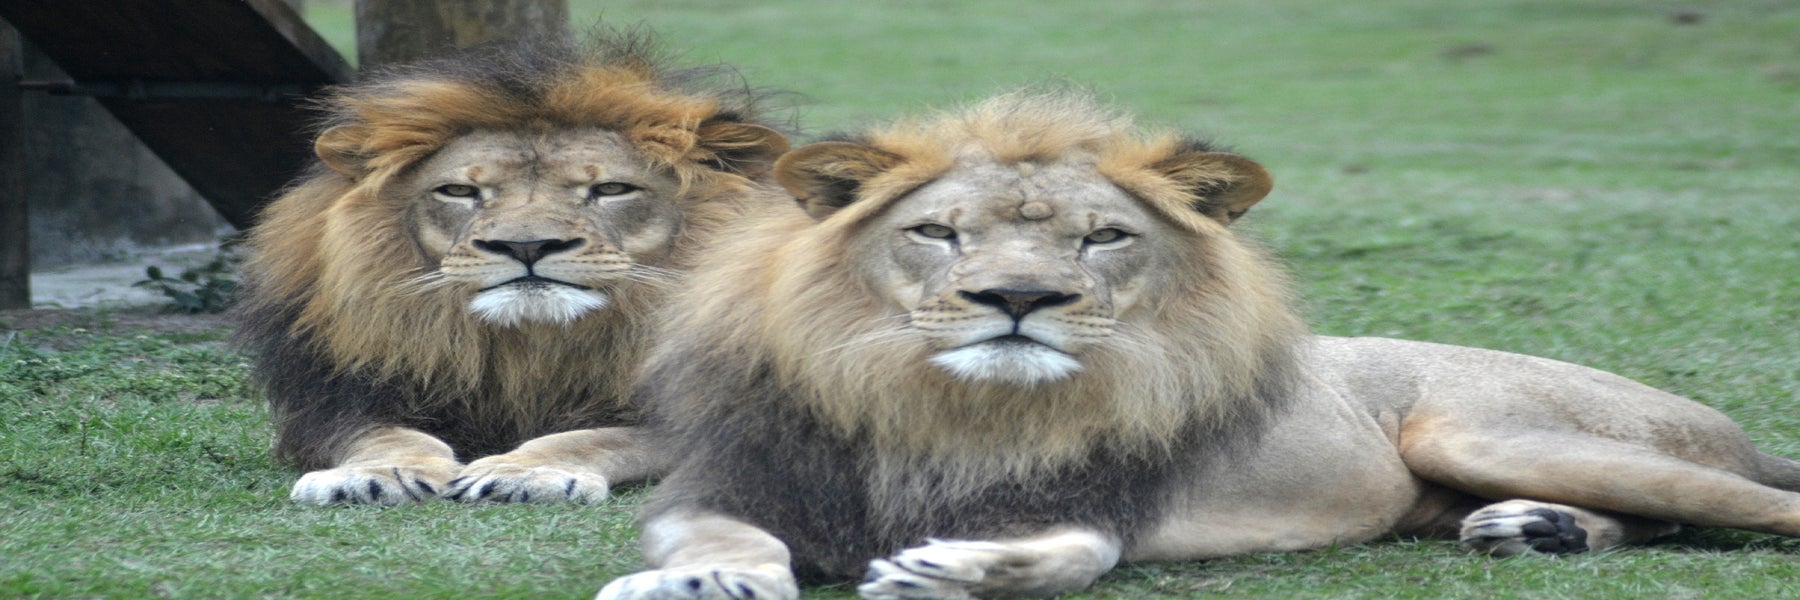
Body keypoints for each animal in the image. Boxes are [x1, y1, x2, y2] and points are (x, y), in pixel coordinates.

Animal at [232, 33, 788, 504]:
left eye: (610, 189)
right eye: (459, 191)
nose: (528, 245)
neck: (530, 347)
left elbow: (599, 437)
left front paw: (524, 471)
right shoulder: (336, 402)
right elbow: (384, 436)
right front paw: (378, 473)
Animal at [597, 90, 1800, 598]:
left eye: (1104, 236)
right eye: (937, 232)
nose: (1018, 297)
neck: (940, 406)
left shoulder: (1100, 504)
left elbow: (1073, 553)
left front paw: (957, 568)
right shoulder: (731, 482)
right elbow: (725, 537)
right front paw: (709, 580)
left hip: (1491, 431)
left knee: (1749, 507)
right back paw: (1535, 531)